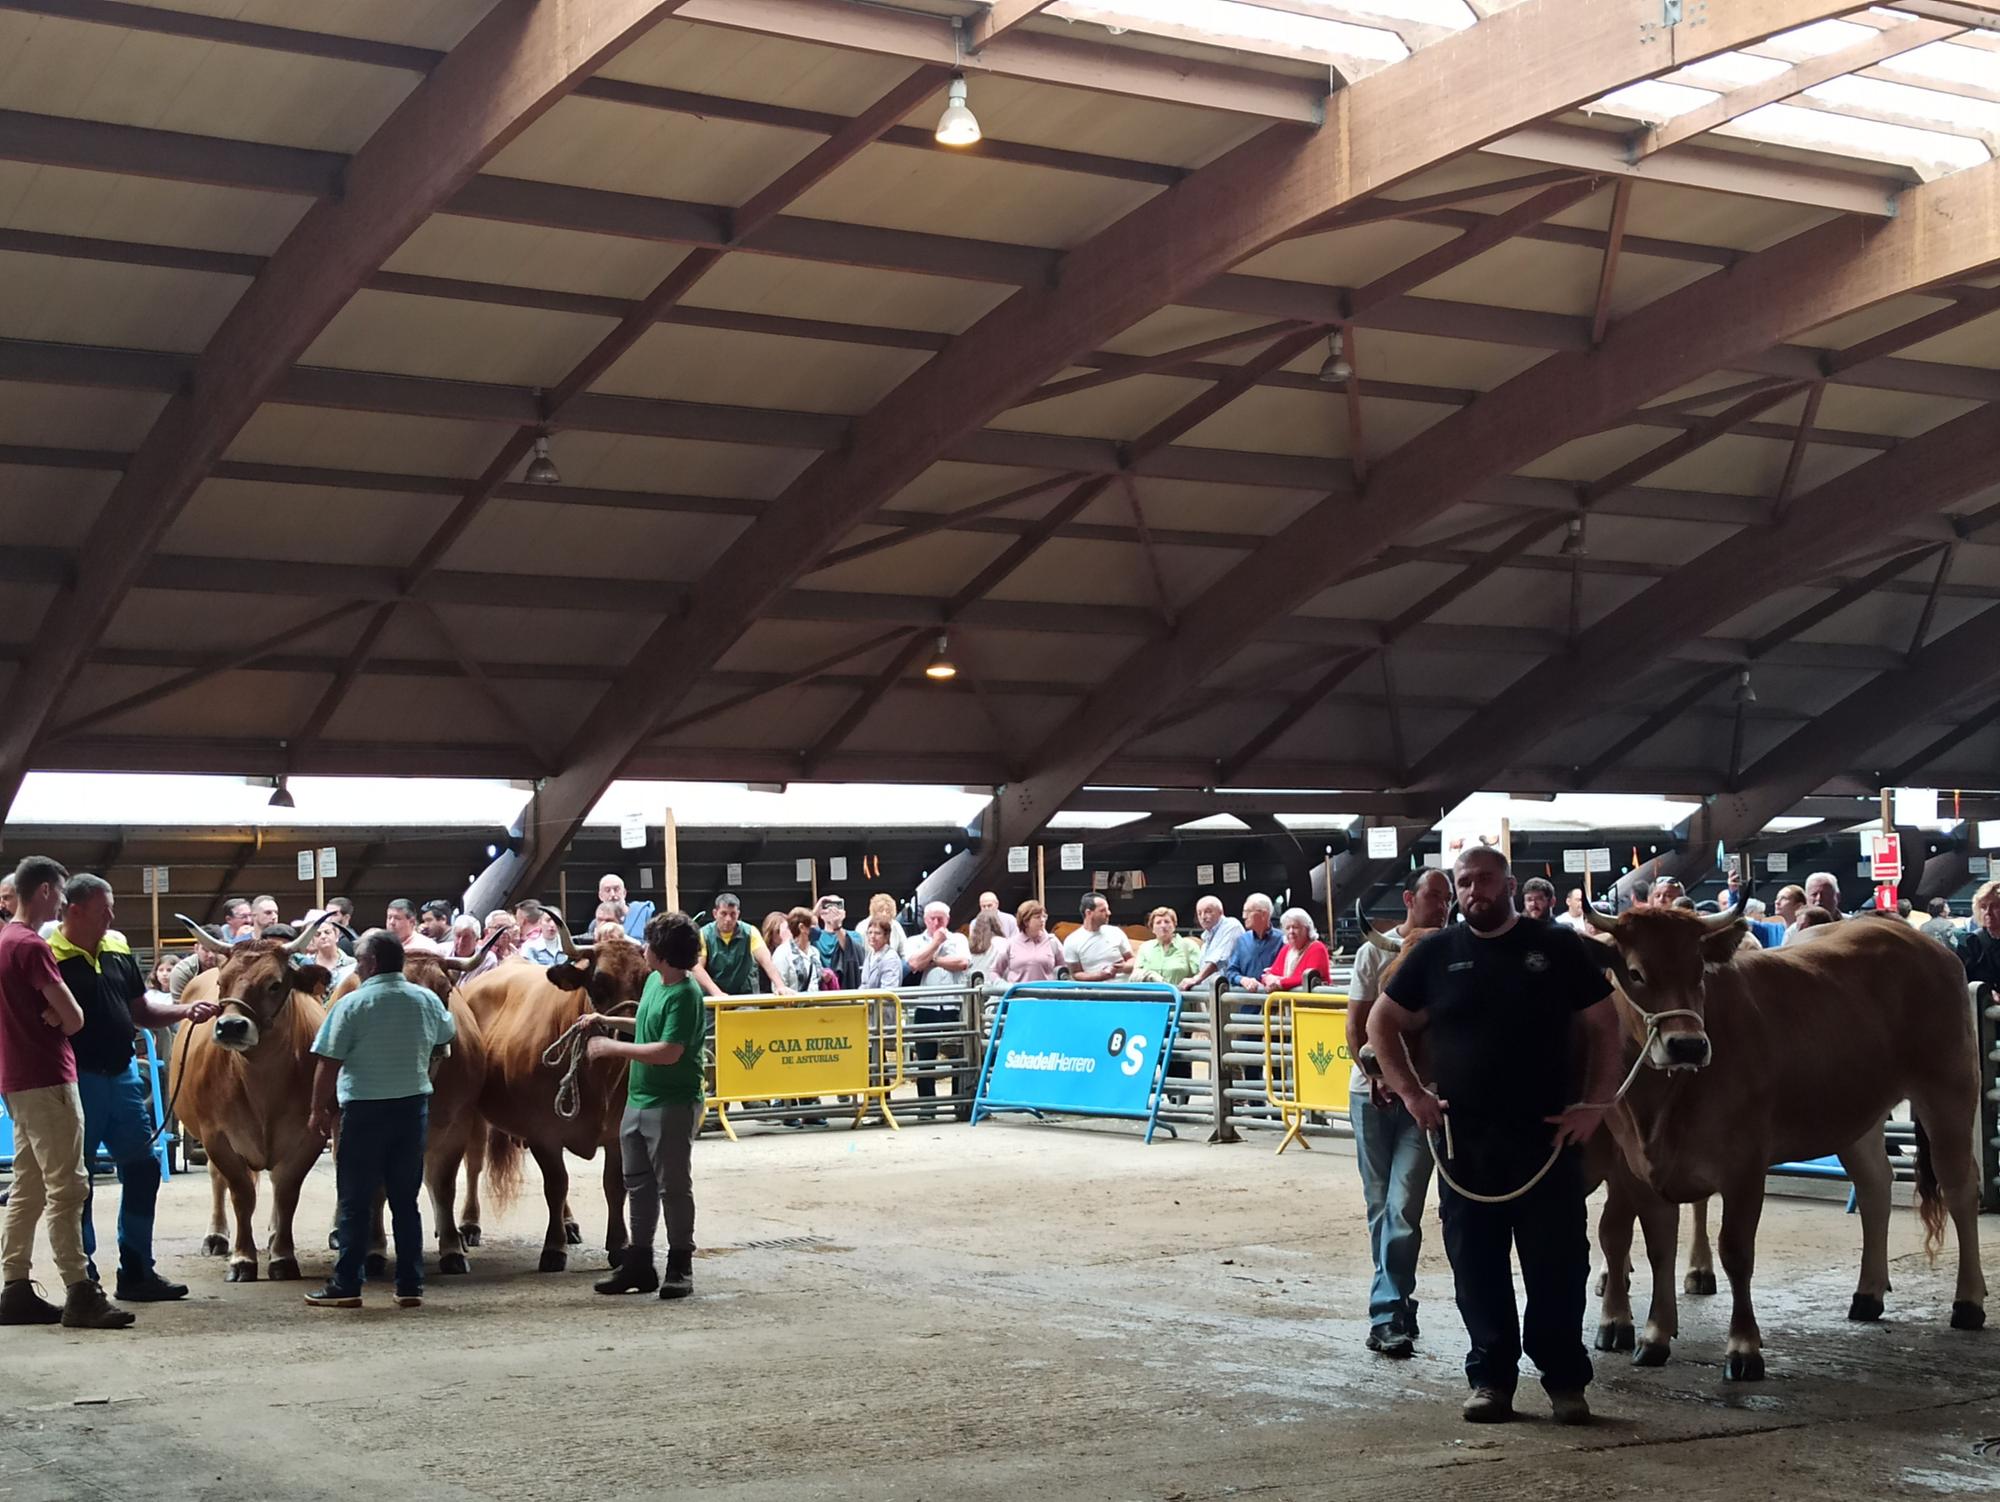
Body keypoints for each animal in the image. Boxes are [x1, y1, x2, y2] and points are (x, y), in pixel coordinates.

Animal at [454, 928, 648, 1272]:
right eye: (599, 982)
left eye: (644, 978)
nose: (629, 1033)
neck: (599, 1080)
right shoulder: (543, 1134)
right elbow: (556, 1185)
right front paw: (554, 1248)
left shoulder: (617, 1134)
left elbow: (614, 1186)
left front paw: (619, 1245)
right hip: (474, 1114)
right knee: (474, 1163)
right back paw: (469, 1225)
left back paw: (569, 1223)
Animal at [1576, 900, 1984, 1384]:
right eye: (1636, 972)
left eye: (1698, 972)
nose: (1688, 1046)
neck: (1659, 1103)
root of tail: (1916, 939)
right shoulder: (1640, 1168)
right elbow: (1657, 1247)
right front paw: (1654, 1337)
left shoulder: (1744, 1164)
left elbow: (1735, 1252)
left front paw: (1743, 1348)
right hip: (1855, 1112)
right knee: (1874, 1186)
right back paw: (1867, 1295)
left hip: (1949, 1089)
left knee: (1960, 1189)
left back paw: (1968, 1302)